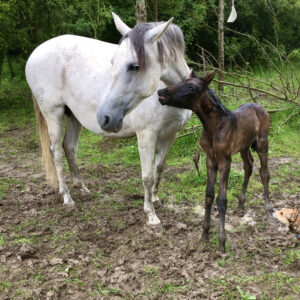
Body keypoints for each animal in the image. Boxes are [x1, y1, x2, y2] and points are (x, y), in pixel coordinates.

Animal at [25, 13, 190, 225]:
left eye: (134, 66)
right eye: (113, 62)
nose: (104, 117)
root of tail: (35, 53)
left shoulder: (170, 135)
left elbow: (159, 168)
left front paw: (155, 199)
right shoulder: (146, 136)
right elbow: (147, 176)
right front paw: (151, 216)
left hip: (73, 116)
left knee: (69, 147)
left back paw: (83, 189)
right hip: (53, 114)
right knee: (56, 152)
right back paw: (67, 198)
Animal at [158, 69, 274, 252]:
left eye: (191, 87)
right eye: (182, 81)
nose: (162, 93)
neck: (214, 127)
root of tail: (260, 107)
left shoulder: (225, 161)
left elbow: (221, 200)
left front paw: (221, 243)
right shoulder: (210, 160)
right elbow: (208, 196)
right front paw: (204, 235)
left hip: (262, 142)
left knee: (264, 172)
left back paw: (269, 212)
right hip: (244, 147)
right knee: (248, 166)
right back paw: (240, 207)